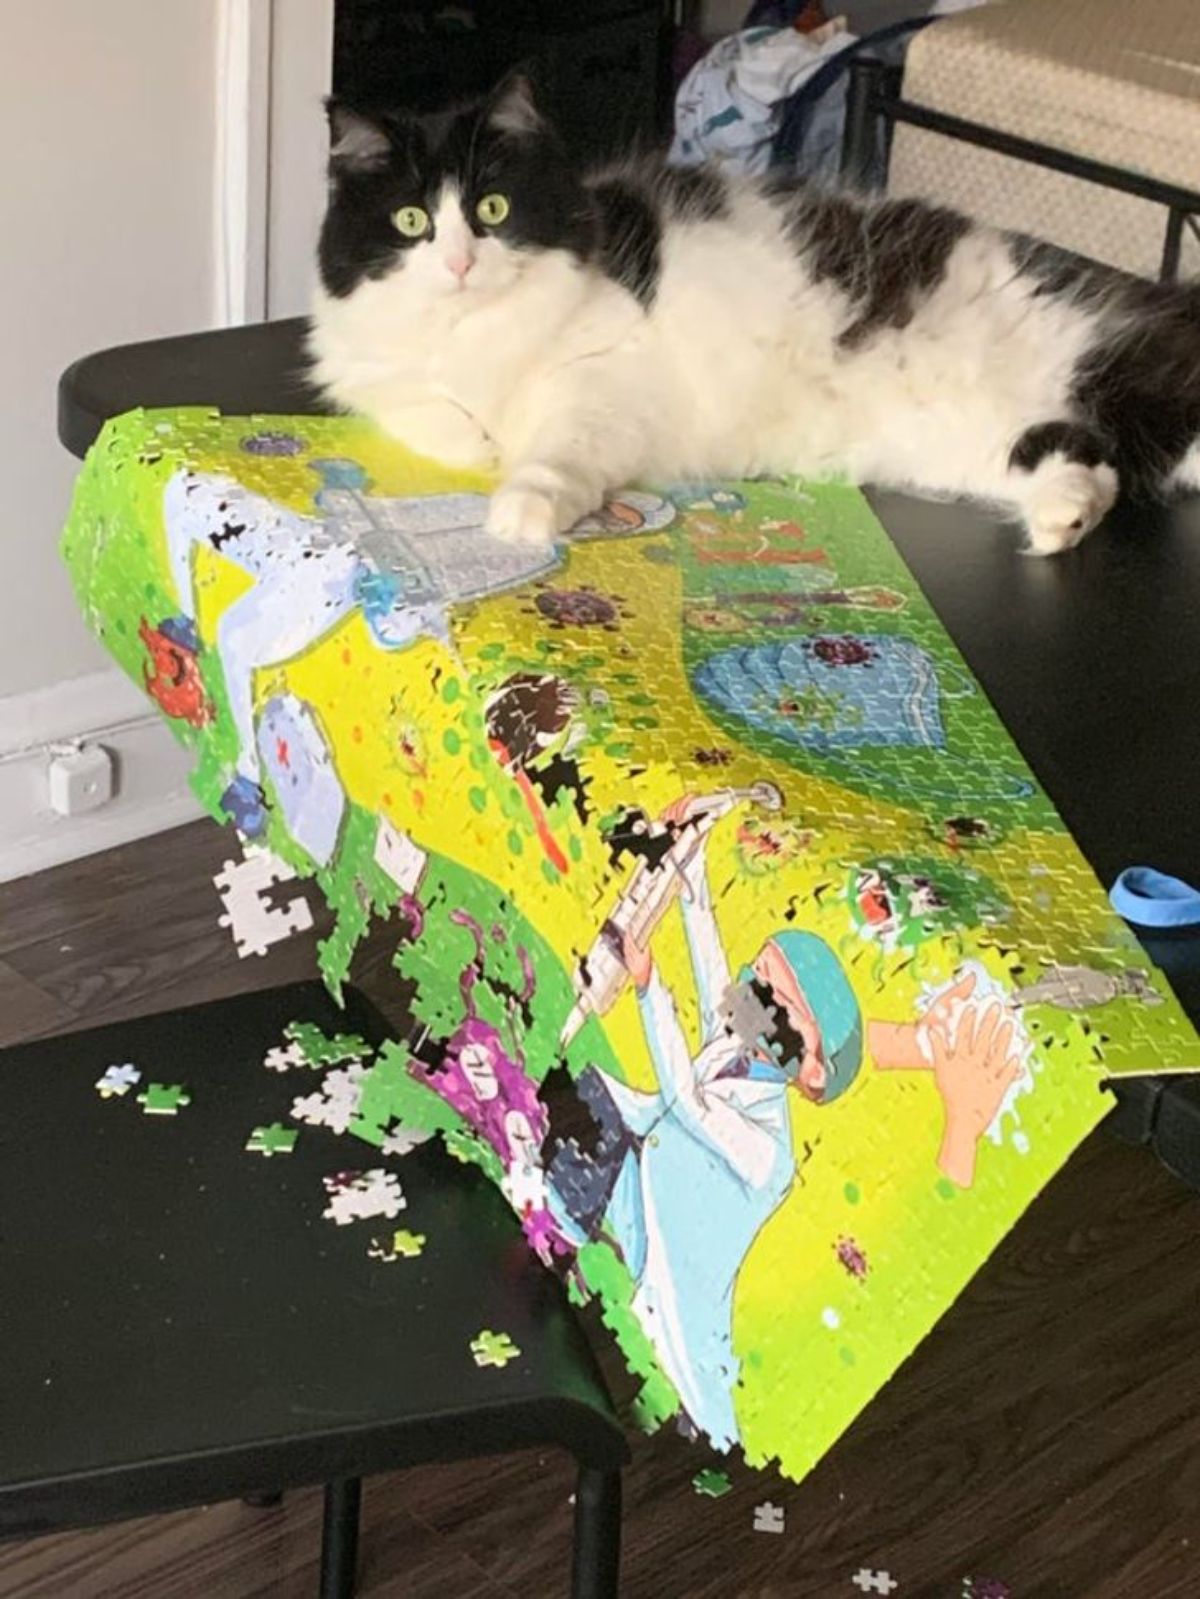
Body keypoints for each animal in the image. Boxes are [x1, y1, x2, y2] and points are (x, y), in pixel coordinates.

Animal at [307, 75, 1200, 556]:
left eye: (491, 209)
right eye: (412, 223)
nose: (460, 264)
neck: (476, 334)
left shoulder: (604, 378)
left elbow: (553, 453)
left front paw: (520, 511)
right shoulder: (381, 381)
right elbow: (436, 414)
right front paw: (482, 442)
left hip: (1105, 365)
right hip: (978, 438)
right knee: (1087, 462)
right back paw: (1062, 523)